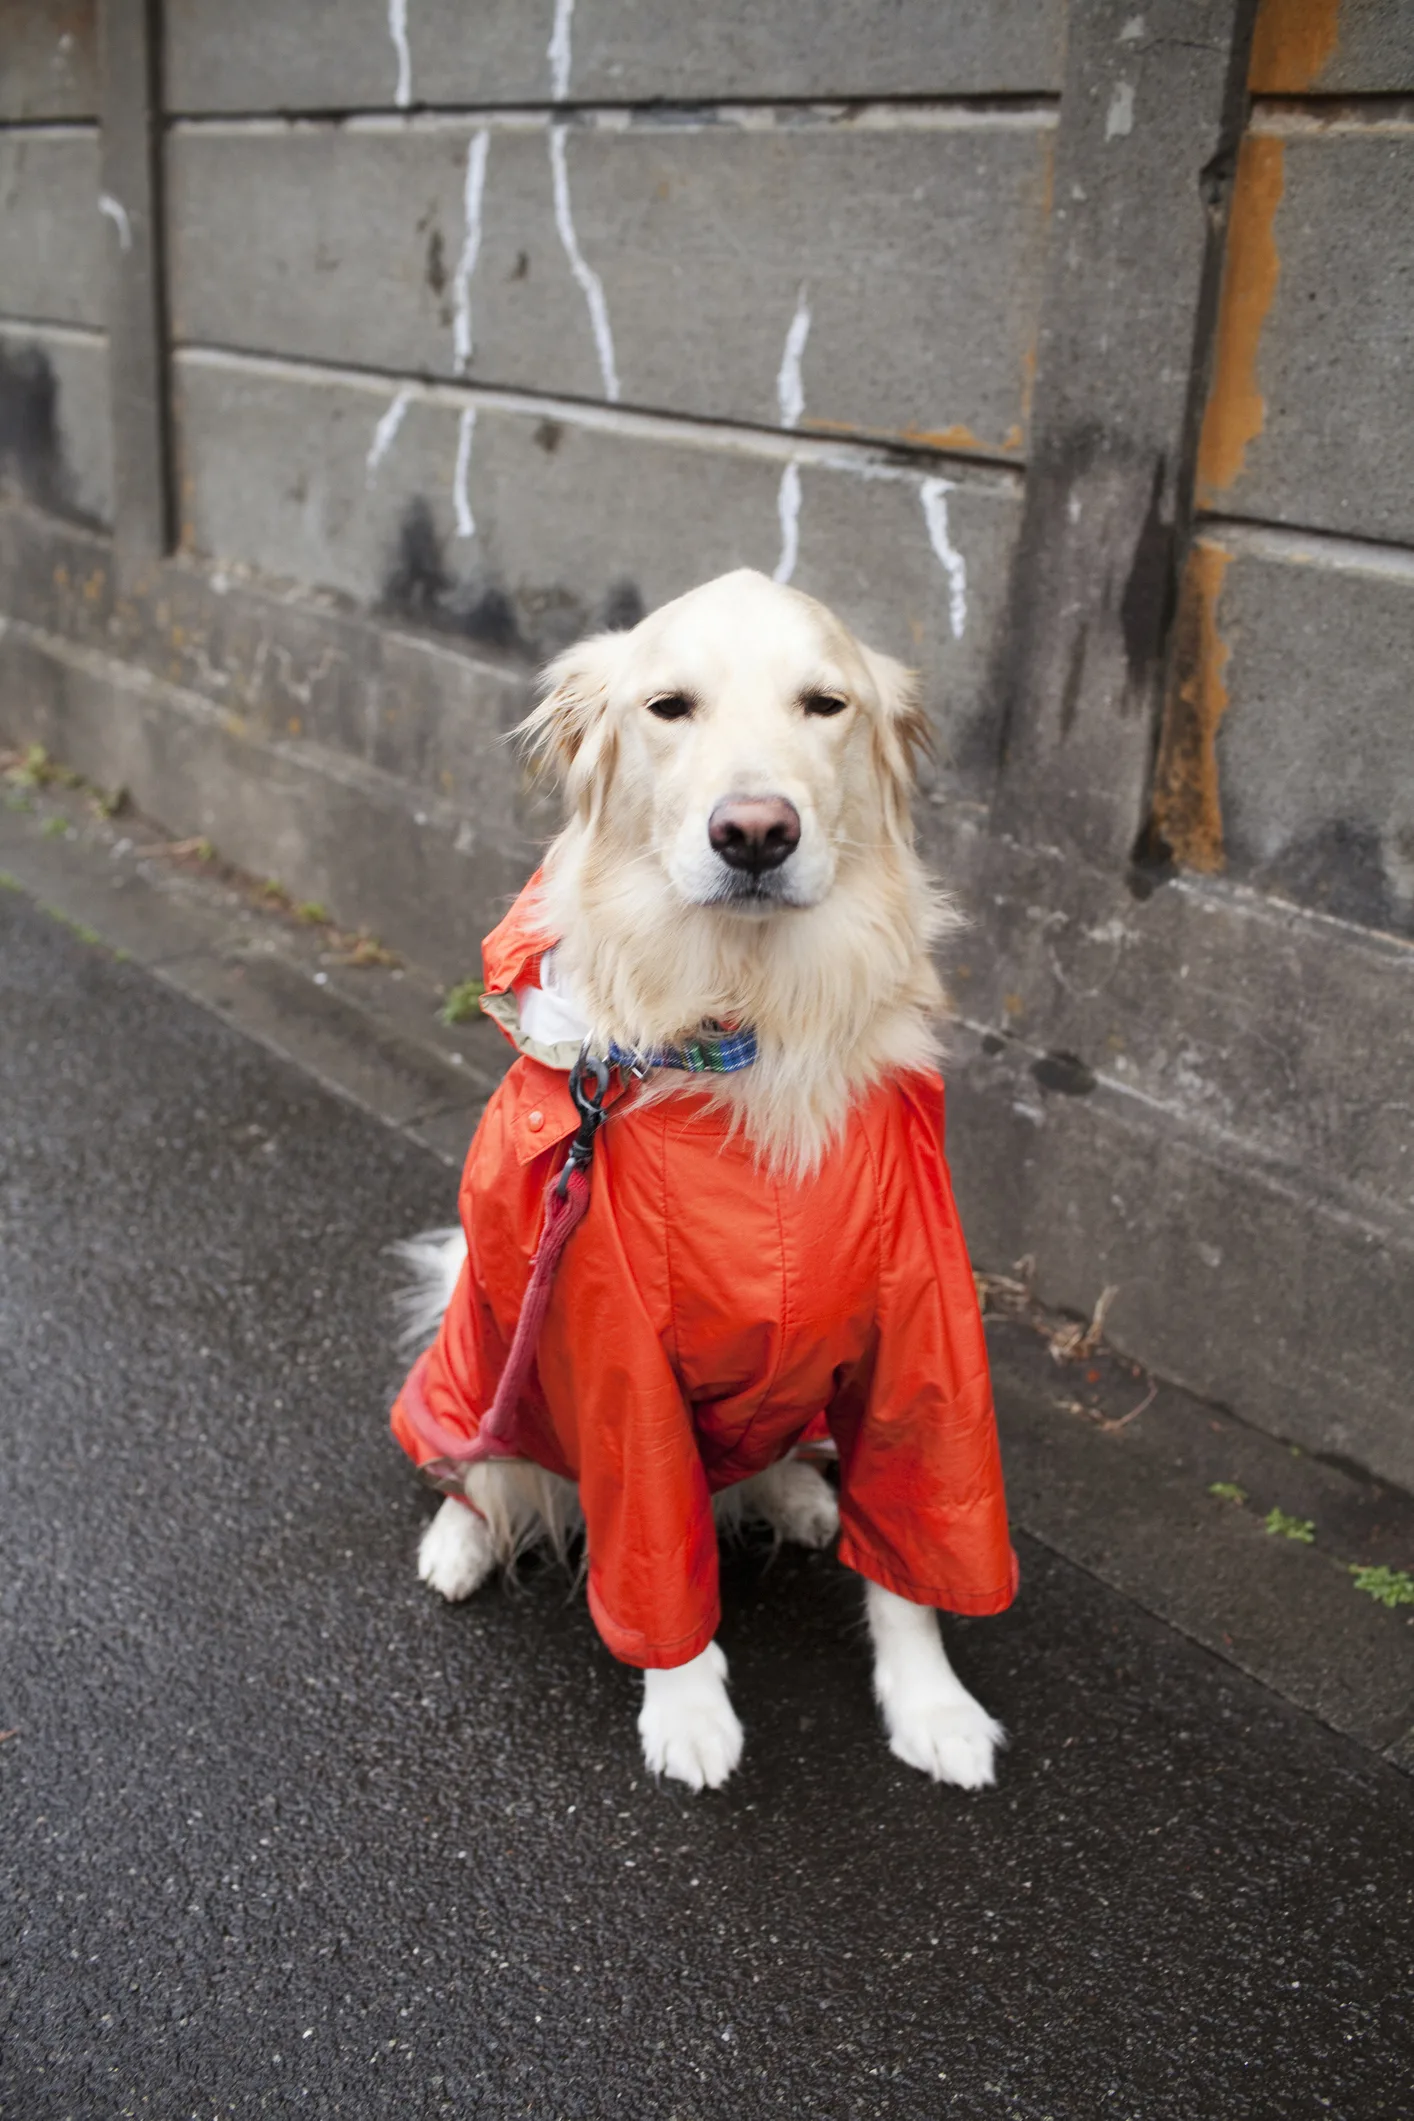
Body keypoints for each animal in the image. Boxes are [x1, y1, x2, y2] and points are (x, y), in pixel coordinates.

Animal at [402, 564, 1013, 1790]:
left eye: (824, 705)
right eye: (668, 707)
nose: (756, 833)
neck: (745, 1023)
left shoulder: (921, 1334)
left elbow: (914, 1555)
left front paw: (934, 1707)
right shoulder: (618, 1358)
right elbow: (655, 1558)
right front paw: (686, 1711)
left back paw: (798, 1492)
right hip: (484, 1340)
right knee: (479, 1462)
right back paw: (458, 1538)